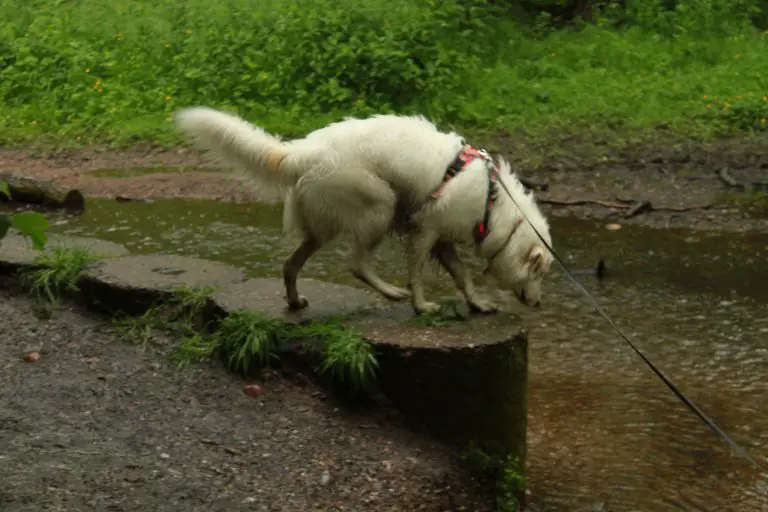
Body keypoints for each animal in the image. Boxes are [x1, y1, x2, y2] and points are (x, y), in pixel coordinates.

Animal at [174, 109, 552, 312]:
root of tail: (302, 152)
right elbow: (417, 273)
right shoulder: (426, 230)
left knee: (290, 264)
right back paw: (391, 292)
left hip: (321, 228)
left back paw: (295, 303)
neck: (495, 201)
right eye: (540, 274)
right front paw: (421, 305)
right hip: (380, 206)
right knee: (356, 264)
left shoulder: (443, 240)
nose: (538, 304)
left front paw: (477, 304)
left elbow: (462, 276)